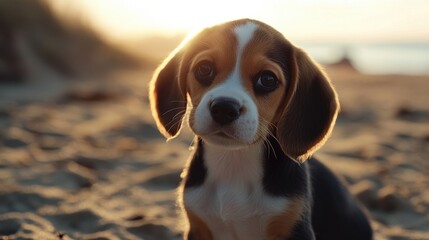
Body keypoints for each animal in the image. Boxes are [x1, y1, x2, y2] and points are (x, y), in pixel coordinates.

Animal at [150, 19, 372, 240]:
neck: (234, 162)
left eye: (267, 79)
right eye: (204, 68)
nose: (224, 108)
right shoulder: (198, 229)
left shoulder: (296, 230)